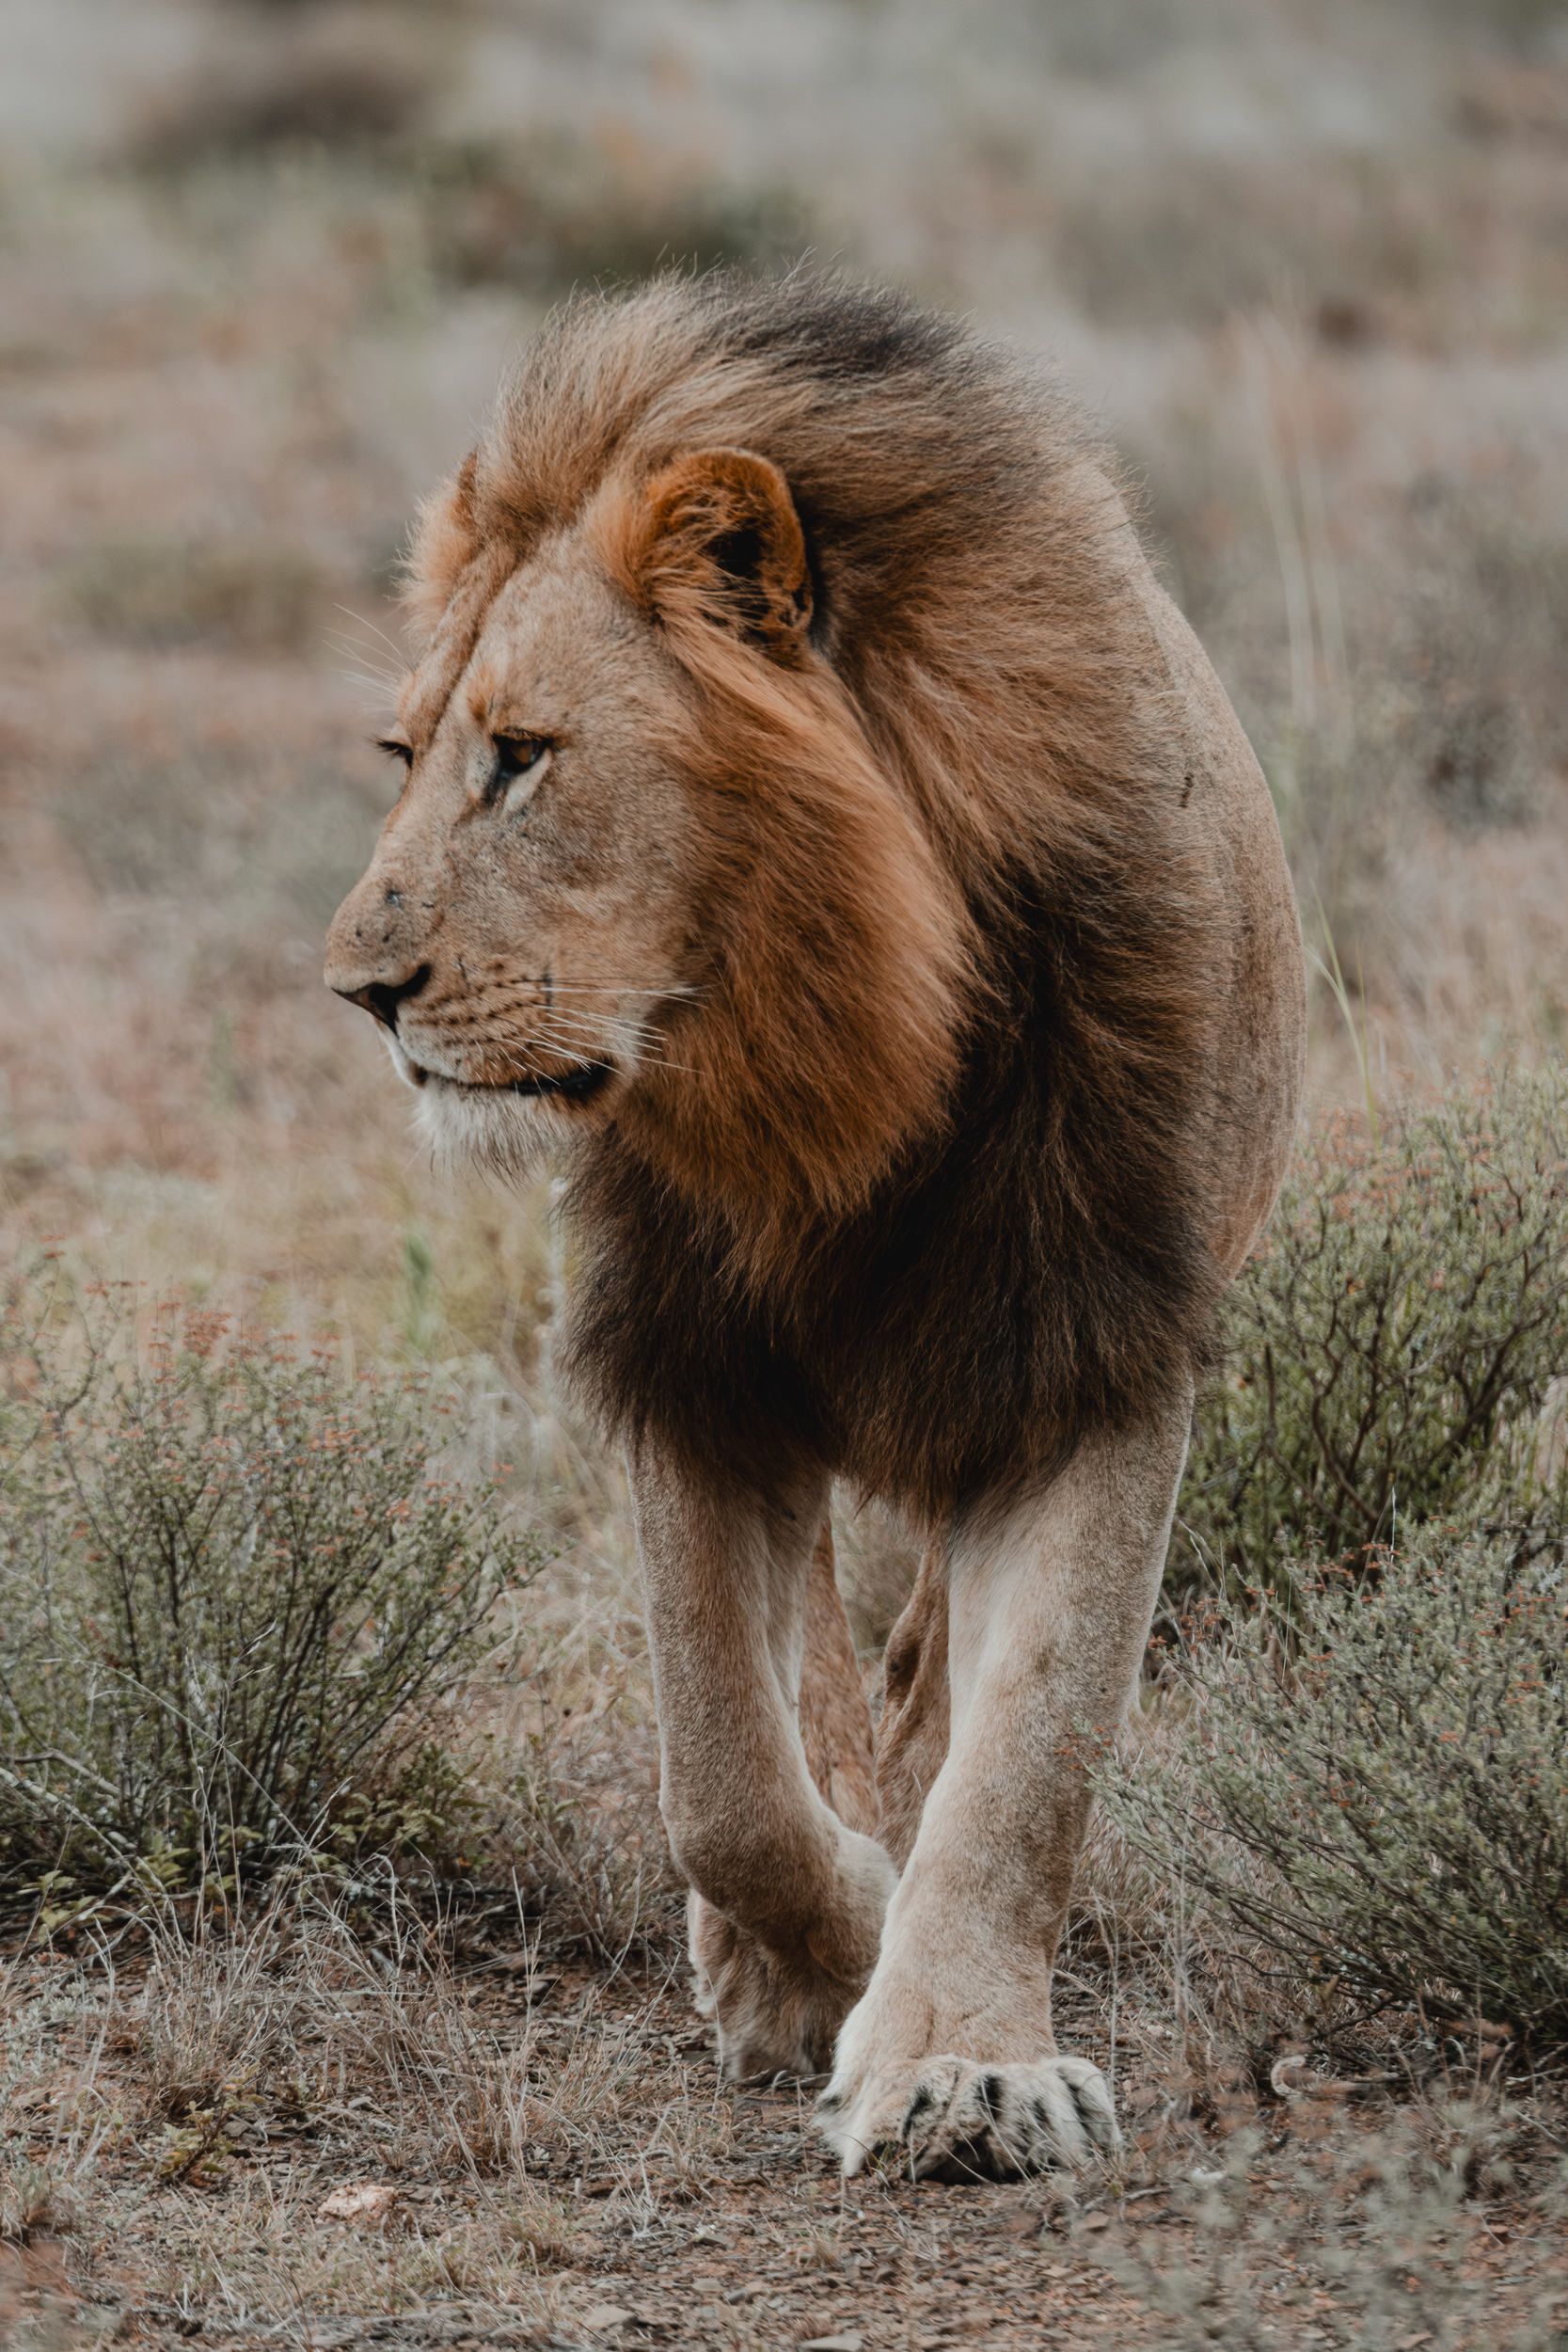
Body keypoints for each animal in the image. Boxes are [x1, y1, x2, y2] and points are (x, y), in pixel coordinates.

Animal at [325, 274, 1305, 2181]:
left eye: (522, 759)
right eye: (406, 757)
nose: (360, 991)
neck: (837, 1058)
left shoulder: (1095, 1350)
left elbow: (1031, 1753)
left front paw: (962, 2061)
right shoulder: (687, 1359)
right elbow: (726, 1778)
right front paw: (820, 1954)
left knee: (924, 1670)